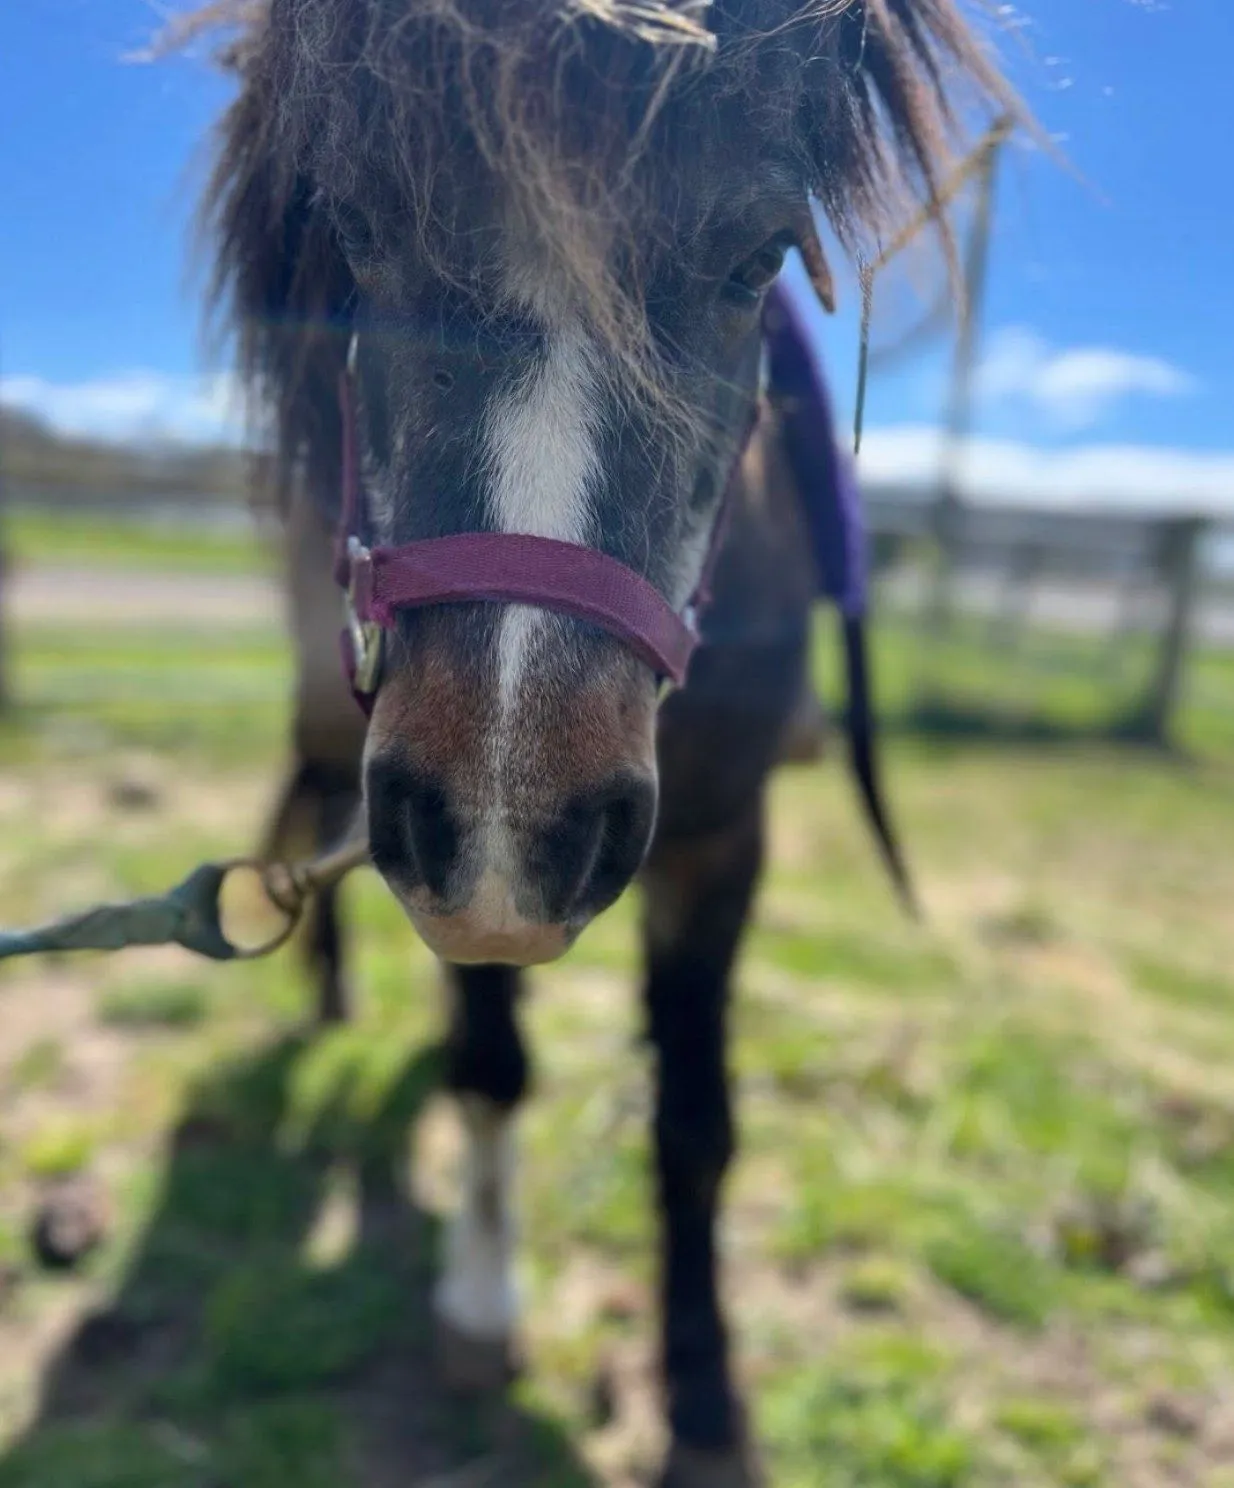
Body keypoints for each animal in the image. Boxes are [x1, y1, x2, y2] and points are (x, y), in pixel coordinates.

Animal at [186, 2, 1012, 1480]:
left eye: (759, 254)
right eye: (353, 226)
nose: (514, 820)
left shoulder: (721, 840)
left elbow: (692, 1127)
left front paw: (704, 1401)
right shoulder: (432, 848)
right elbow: (489, 1067)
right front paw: (478, 1305)